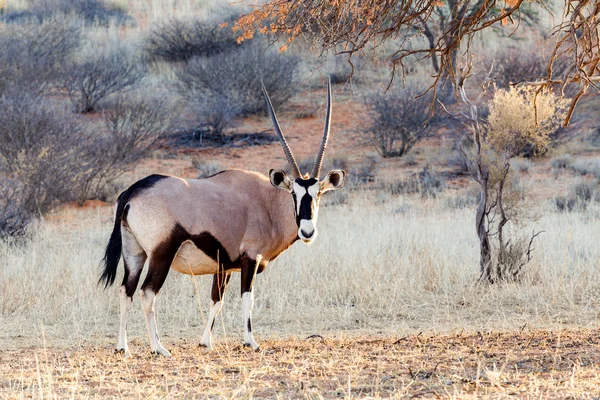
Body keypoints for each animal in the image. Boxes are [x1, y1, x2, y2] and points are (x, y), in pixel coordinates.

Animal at [100, 79, 344, 356]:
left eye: (319, 193)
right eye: (294, 193)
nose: (307, 232)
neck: (267, 203)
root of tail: (133, 190)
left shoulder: (224, 266)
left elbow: (216, 301)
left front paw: (206, 341)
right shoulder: (250, 258)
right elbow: (247, 298)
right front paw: (250, 341)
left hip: (134, 254)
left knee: (126, 291)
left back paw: (123, 347)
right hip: (161, 254)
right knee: (147, 293)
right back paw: (158, 347)